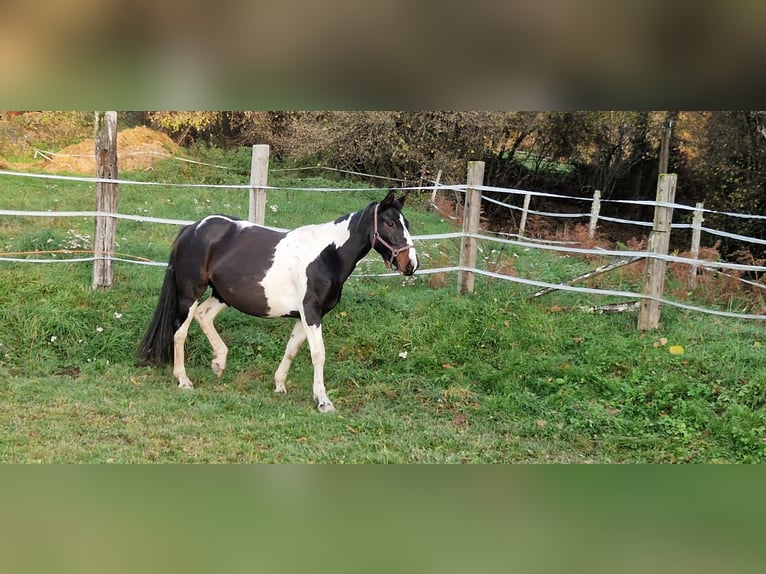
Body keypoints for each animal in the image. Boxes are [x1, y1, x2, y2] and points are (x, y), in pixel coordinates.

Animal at [137, 190, 418, 413]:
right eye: (390, 223)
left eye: (406, 223)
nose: (411, 265)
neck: (327, 255)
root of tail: (192, 228)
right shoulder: (311, 313)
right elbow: (318, 354)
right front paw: (323, 401)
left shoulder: (305, 316)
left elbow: (292, 349)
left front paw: (280, 385)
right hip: (190, 293)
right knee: (179, 332)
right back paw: (183, 380)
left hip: (221, 295)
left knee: (204, 316)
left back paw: (219, 363)